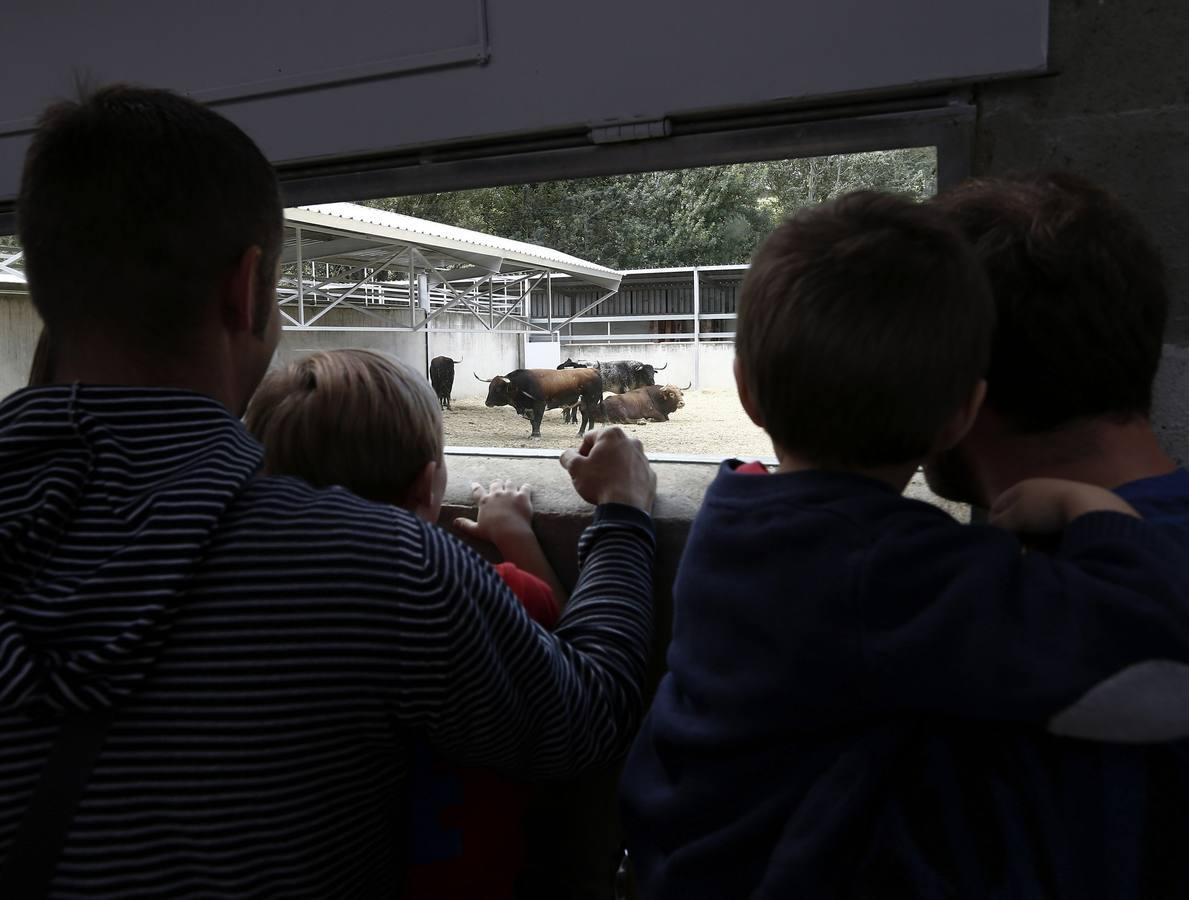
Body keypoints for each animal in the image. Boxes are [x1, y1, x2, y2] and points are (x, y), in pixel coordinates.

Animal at [473, 366, 604, 435]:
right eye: (490, 387)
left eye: (498, 389)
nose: (487, 403)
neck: (521, 385)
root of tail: (593, 370)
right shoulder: (529, 408)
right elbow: (533, 422)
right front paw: (533, 433)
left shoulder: (540, 405)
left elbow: (537, 420)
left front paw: (536, 435)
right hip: (583, 403)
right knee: (586, 416)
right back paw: (581, 434)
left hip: (592, 401)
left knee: (591, 416)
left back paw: (590, 432)